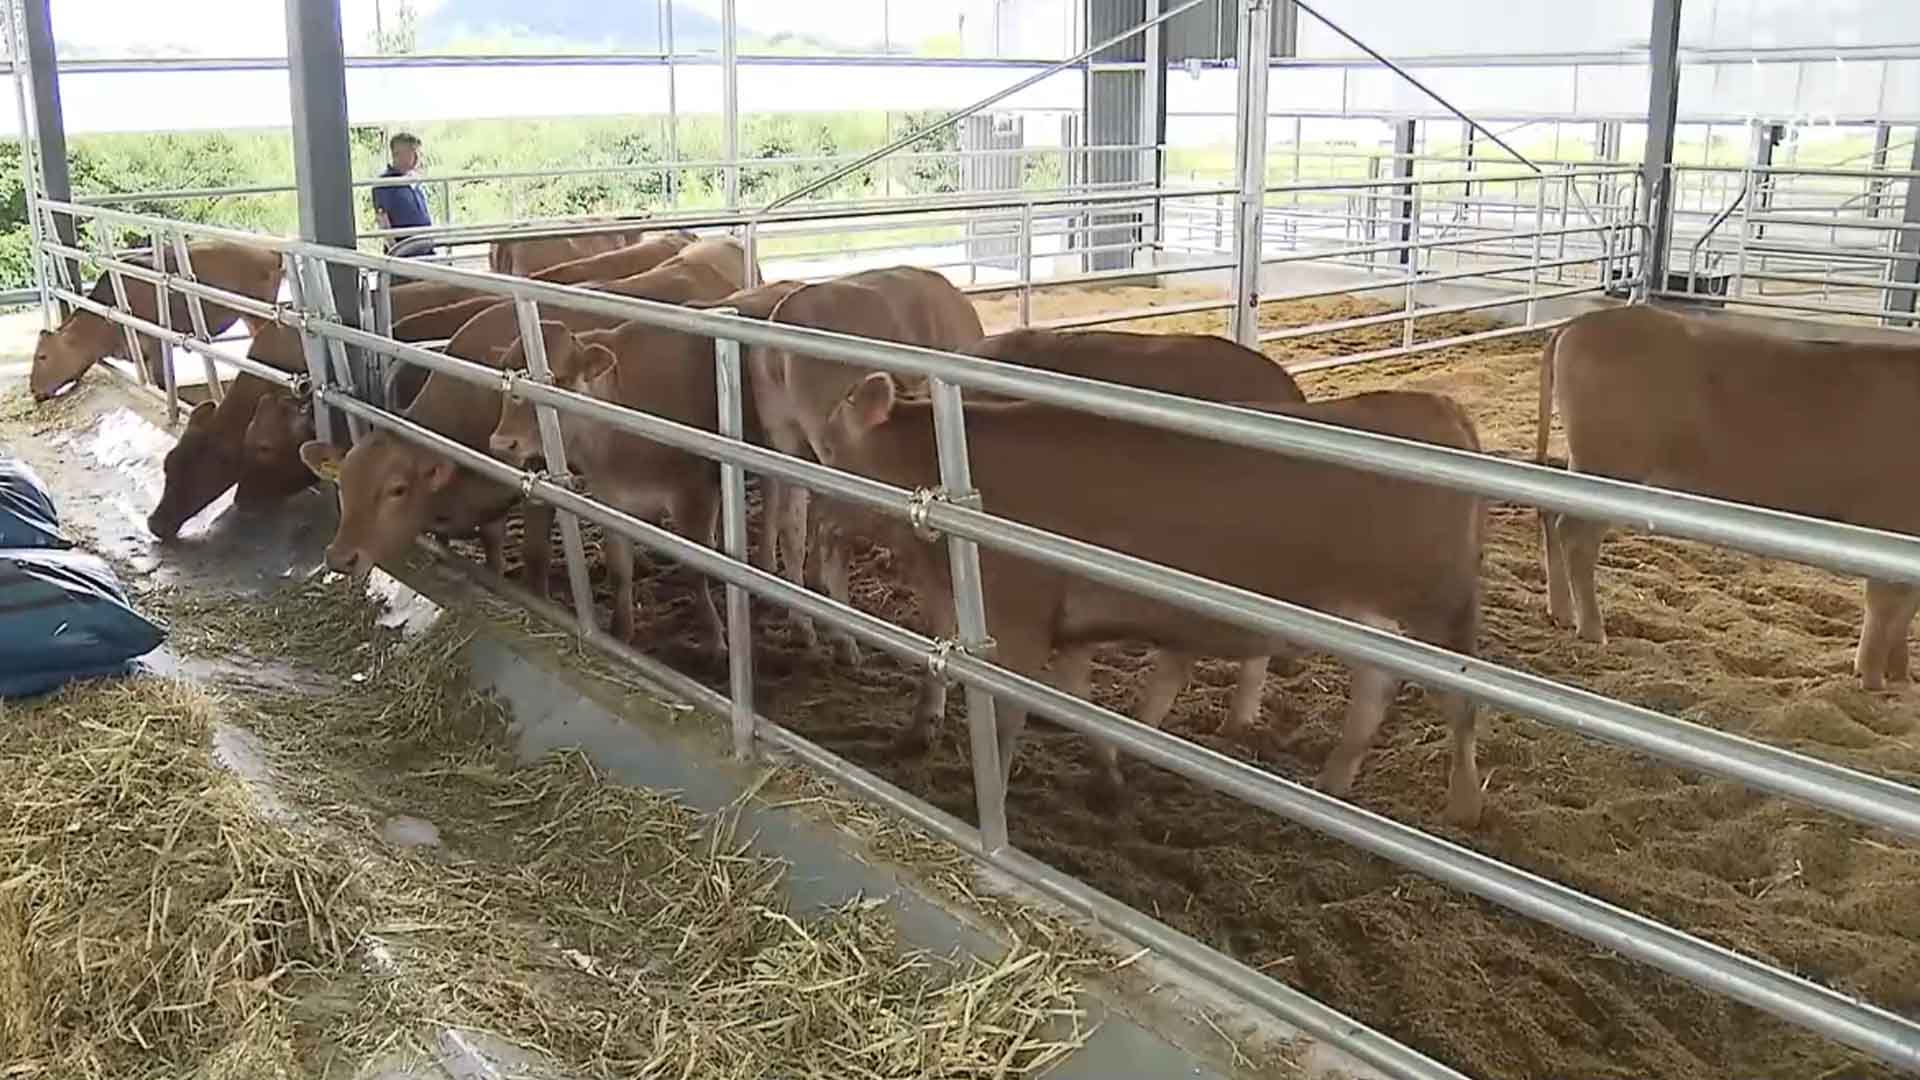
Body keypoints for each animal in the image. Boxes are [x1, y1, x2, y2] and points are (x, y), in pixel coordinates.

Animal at [32, 238, 284, 399]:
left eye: (42, 356)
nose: (33, 389)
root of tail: (269, 251)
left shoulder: (157, 345)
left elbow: (164, 384)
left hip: (258, 315)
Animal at [299, 239, 748, 584]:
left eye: (396, 489)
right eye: (344, 486)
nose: (340, 556)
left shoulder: (539, 485)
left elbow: (534, 556)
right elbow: (493, 545)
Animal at [817, 374, 1489, 818]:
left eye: (825, 449)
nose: (817, 521)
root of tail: (1437, 405)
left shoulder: (1020, 623)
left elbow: (1006, 720)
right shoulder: (1066, 630)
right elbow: (1080, 703)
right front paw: (1110, 779)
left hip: (1439, 615)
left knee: (1461, 706)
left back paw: (1462, 806)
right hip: (1370, 624)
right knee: (1374, 689)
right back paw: (1331, 786)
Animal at [1536, 303, 1920, 687]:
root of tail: (1582, 322)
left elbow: (1908, 603)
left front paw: (1900, 673)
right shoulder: (1888, 516)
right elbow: (1886, 601)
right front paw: (1873, 677)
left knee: (1553, 515)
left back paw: (1563, 612)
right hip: (1609, 465)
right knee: (1575, 534)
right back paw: (1592, 628)